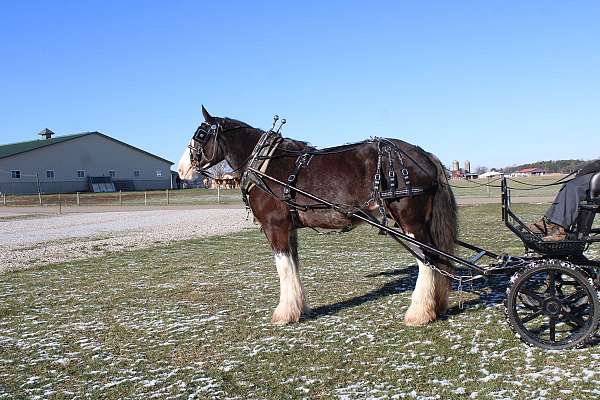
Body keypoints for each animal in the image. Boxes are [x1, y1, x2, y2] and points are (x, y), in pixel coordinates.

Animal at [178, 108, 460, 326]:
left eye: (200, 135)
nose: (181, 169)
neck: (264, 164)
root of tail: (424, 155)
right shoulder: (289, 228)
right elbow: (293, 265)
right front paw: (298, 308)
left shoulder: (275, 227)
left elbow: (283, 267)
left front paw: (284, 314)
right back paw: (437, 306)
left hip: (410, 222)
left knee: (428, 260)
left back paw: (420, 313)